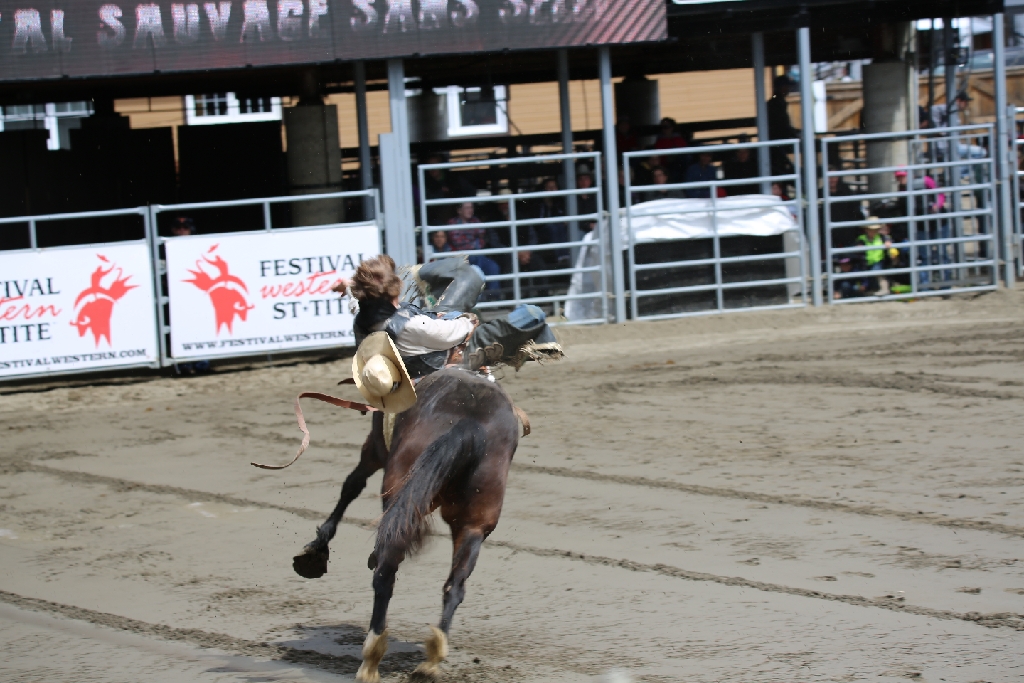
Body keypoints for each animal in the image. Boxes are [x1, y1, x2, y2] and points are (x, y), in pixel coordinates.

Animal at [292, 367, 522, 682]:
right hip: (474, 525)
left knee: (386, 574)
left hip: (398, 482)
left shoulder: (375, 448)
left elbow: (351, 485)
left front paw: (315, 550)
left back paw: (371, 657)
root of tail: (469, 422)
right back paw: (431, 662)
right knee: (454, 587)